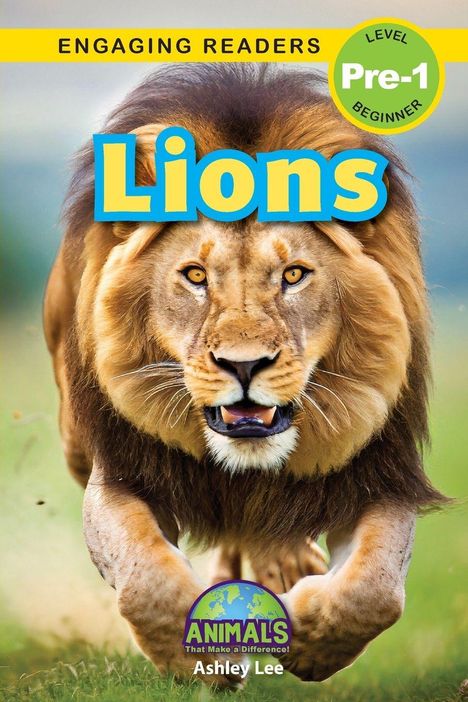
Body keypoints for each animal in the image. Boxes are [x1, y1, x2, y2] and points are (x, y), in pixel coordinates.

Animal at [44, 64, 446, 688]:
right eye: (195, 276)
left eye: (294, 275)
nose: (244, 365)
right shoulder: (120, 473)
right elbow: (147, 578)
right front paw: (198, 657)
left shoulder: (381, 472)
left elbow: (374, 591)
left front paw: (310, 641)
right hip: (73, 441)